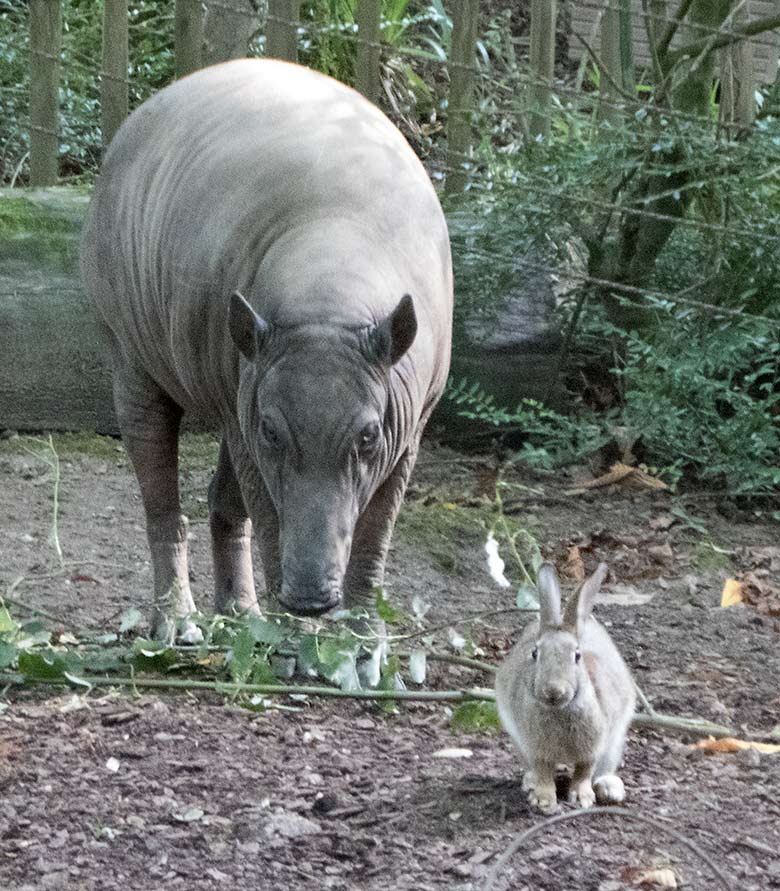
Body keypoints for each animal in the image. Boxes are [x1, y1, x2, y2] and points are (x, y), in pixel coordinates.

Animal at [496, 564, 636, 816]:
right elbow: (543, 772)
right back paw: (530, 783)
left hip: (614, 743)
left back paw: (610, 788)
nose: (553, 691)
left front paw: (581, 797)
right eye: (535, 654)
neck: (560, 710)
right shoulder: (535, 749)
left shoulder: (593, 748)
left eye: (577, 656)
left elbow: (583, 772)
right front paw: (543, 800)